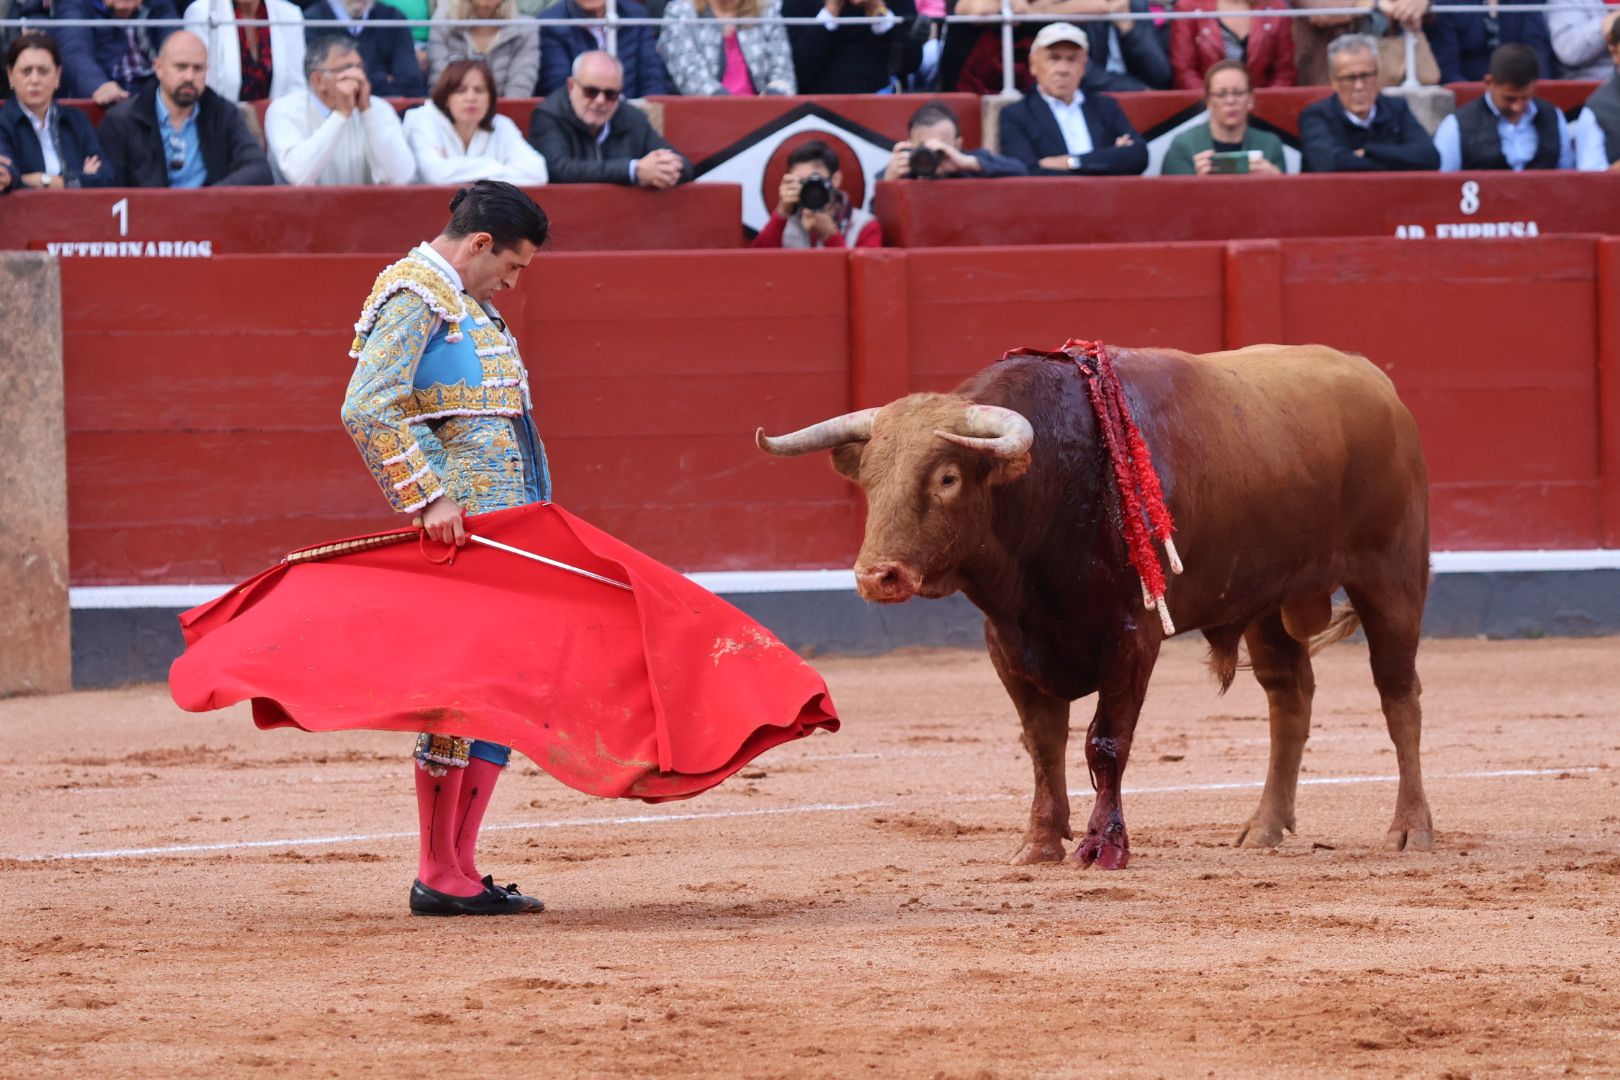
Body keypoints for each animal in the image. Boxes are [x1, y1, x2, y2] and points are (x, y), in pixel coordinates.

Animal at [754, 344, 1432, 867]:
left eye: (947, 477)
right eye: (868, 478)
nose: (879, 576)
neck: (1053, 481)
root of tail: (1377, 383)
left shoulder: (1133, 635)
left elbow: (1105, 740)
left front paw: (1103, 847)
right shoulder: (1008, 642)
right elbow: (1042, 742)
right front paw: (1038, 843)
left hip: (1392, 580)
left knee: (1398, 695)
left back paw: (1410, 828)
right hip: (1267, 600)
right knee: (1289, 695)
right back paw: (1263, 826)